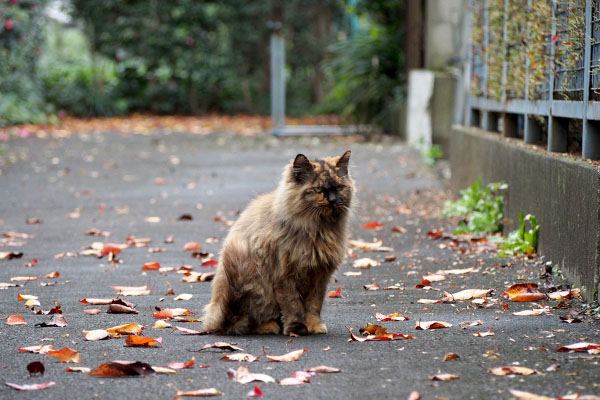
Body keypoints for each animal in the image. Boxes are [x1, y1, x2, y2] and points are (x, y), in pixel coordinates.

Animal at [203, 150, 352, 334]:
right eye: (318, 189)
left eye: (339, 188)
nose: (333, 200)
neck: (316, 230)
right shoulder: (284, 275)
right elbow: (293, 305)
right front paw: (296, 328)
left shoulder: (319, 275)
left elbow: (313, 305)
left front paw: (314, 326)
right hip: (255, 286)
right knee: (247, 322)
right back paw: (270, 327)